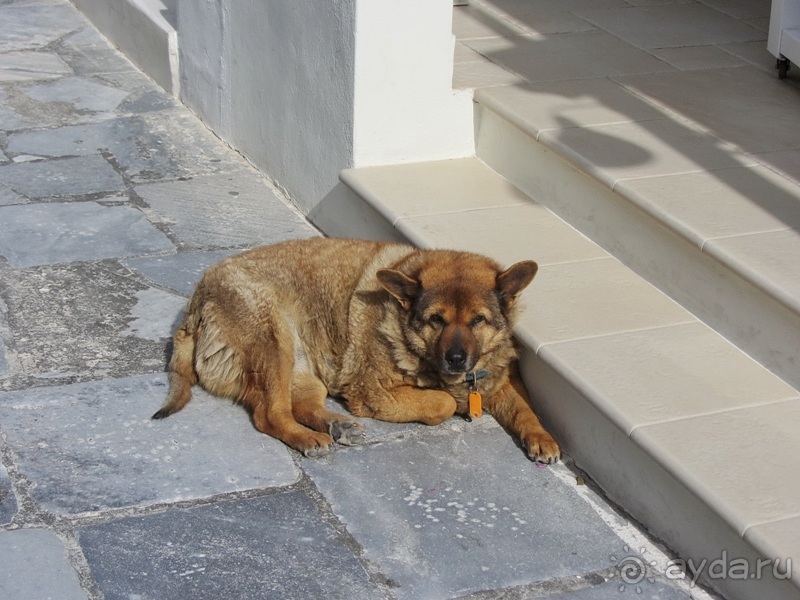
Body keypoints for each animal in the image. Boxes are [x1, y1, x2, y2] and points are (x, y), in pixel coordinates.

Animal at [153, 237, 560, 462]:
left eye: (478, 320)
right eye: (436, 320)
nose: (457, 359)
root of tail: (195, 304)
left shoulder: (496, 381)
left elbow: (525, 409)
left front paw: (542, 438)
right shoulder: (375, 393)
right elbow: (443, 403)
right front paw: (451, 402)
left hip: (302, 370)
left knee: (300, 405)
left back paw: (337, 426)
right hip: (273, 344)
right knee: (270, 415)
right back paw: (309, 438)